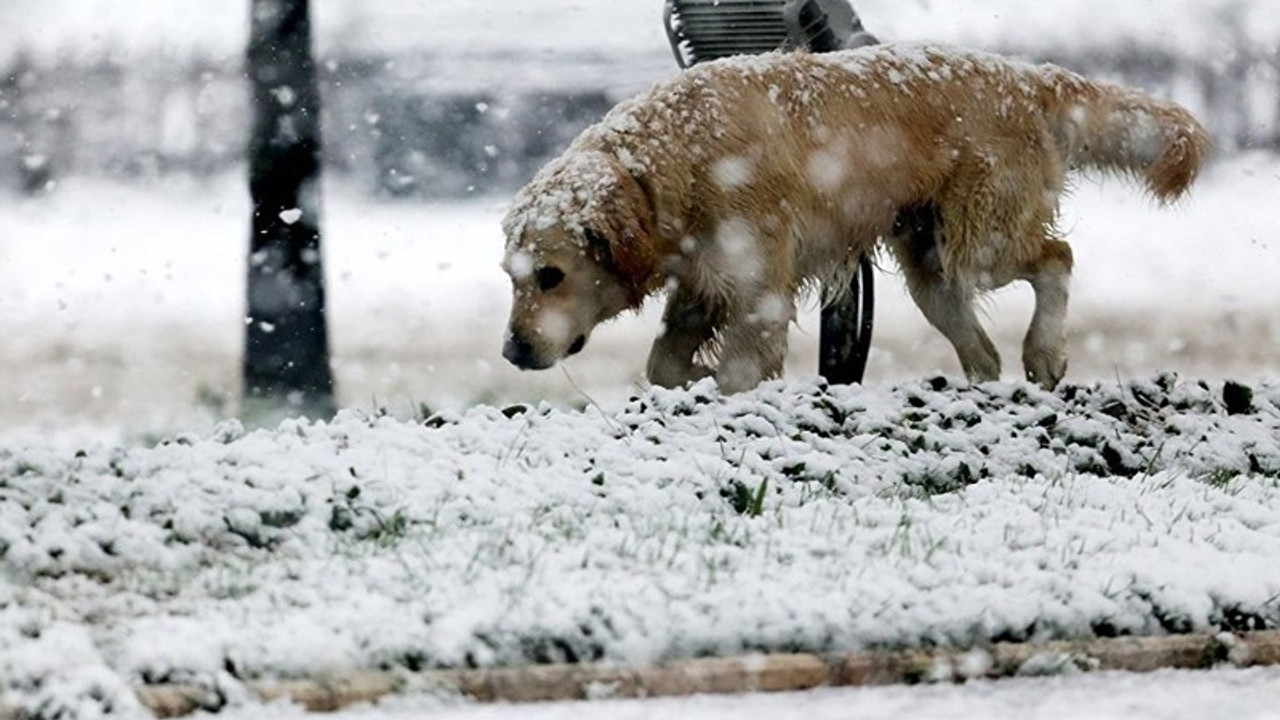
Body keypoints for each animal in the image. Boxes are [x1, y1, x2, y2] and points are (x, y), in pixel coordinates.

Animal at [496, 43, 1208, 392]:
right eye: (512, 277)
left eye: (551, 276)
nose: (511, 350)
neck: (673, 161)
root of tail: (1029, 77)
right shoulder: (703, 286)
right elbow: (663, 365)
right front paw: (692, 378)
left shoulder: (758, 293)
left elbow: (735, 374)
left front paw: (721, 388)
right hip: (932, 267)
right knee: (982, 352)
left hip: (979, 243)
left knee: (1057, 258)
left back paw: (1046, 352)